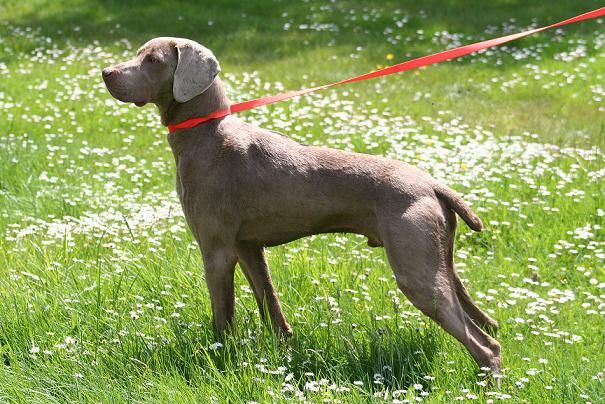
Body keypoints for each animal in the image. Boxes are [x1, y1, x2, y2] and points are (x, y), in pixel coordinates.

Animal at [102, 37, 500, 372]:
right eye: (139, 53)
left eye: (153, 60)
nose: (106, 73)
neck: (207, 133)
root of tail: (432, 184)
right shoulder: (248, 247)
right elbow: (270, 305)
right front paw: (282, 349)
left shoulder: (216, 250)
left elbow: (223, 317)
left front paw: (220, 357)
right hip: (439, 261)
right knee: (488, 323)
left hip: (415, 270)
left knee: (485, 345)